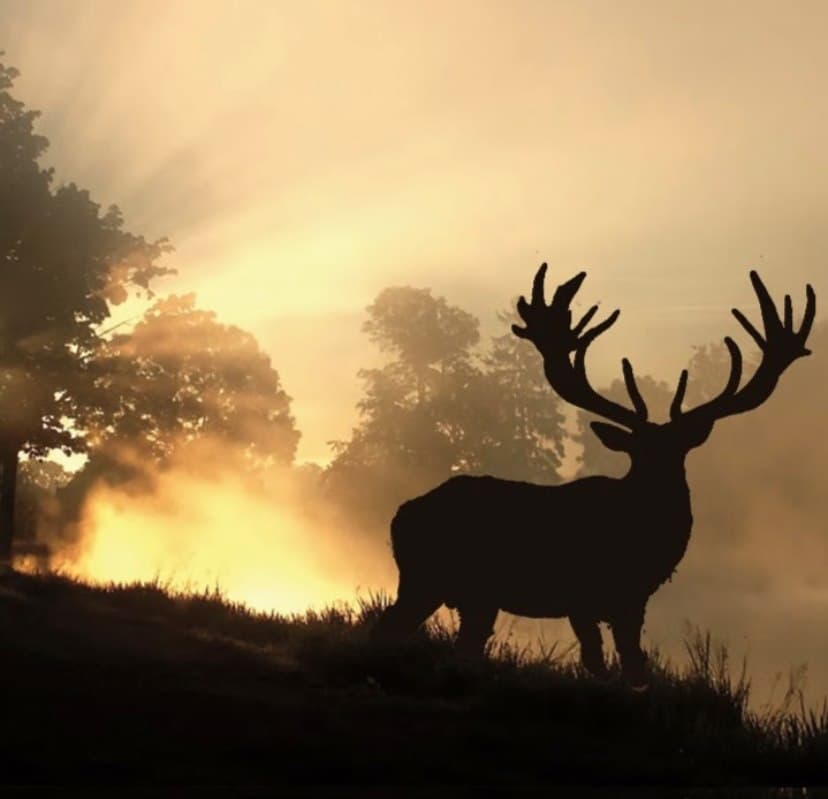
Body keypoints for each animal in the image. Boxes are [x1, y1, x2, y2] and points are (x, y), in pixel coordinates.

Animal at [374, 264, 816, 687]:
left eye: (679, 453)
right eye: (638, 453)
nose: (663, 489)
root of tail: (399, 515)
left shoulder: (634, 600)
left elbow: (632, 665)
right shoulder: (582, 596)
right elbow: (596, 661)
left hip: (465, 592)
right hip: (430, 577)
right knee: (394, 626)